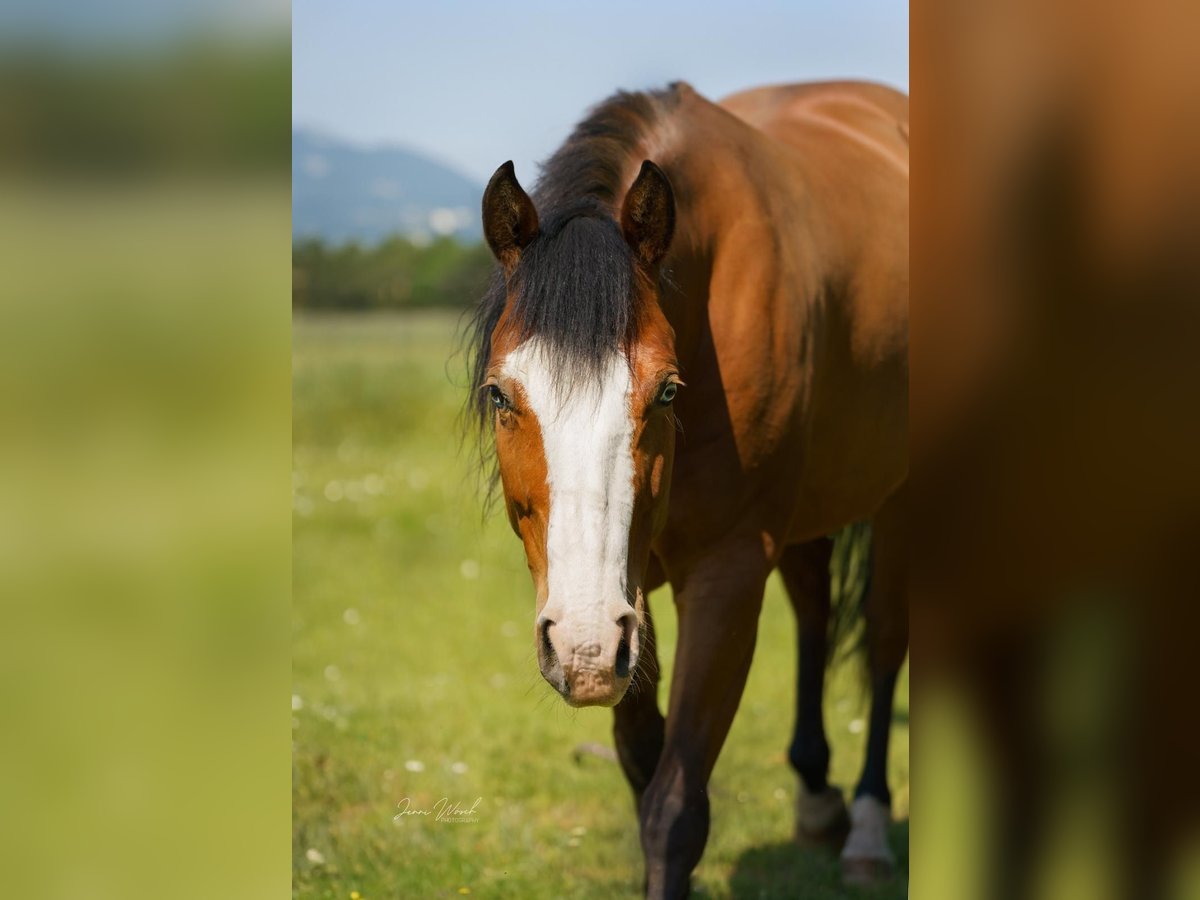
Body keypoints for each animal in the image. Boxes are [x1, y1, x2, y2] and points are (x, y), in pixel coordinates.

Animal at [468, 81, 907, 897]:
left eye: (667, 392)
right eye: (500, 394)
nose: (578, 646)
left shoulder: (726, 573)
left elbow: (675, 806)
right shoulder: (629, 593)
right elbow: (643, 762)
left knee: (886, 639)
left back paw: (867, 825)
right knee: (815, 609)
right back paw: (816, 795)